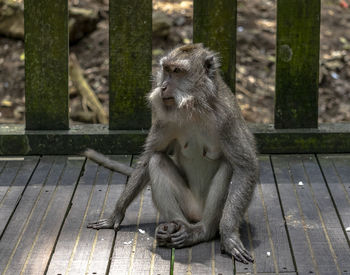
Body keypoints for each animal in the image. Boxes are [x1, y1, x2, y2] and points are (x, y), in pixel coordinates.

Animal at [85, 43, 258, 266]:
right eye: (166, 70)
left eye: (177, 71)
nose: (163, 87)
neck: (195, 106)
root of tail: (196, 215)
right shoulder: (165, 120)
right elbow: (150, 157)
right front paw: (116, 214)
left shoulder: (226, 119)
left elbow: (245, 167)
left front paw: (229, 236)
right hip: (187, 205)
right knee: (157, 161)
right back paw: (175, 227)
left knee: (229, 167)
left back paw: (201, 231)